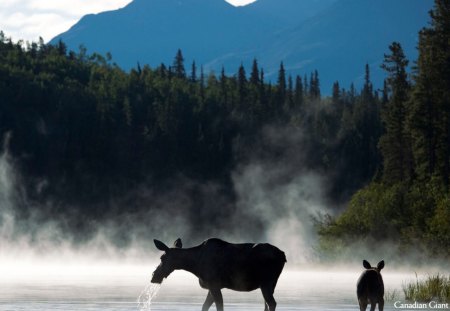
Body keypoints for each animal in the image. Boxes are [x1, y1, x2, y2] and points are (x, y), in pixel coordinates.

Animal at [151, 238, 284, 310]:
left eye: (162, 258)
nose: (154, 276)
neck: (195, 265)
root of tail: (283, 256)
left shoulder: (214, 284)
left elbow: (220, 307)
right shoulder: (212, 286)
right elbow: (204, 307)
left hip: (266, 282)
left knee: (272, 303)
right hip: (270, 284)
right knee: (267, 304)